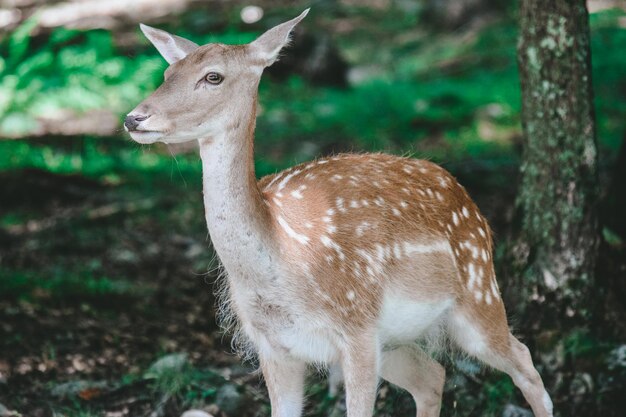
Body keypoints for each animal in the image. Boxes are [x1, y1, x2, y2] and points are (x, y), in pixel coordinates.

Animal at [123, 9, 552, 416]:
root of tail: (470, 202)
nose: (134, 118)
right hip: (395, 341)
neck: (286, 252)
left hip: (477, 293)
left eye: (213, 76)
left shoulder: (356, 327)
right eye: (167, 73)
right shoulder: (273, 346)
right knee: (433, 376)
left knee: (524, 362)